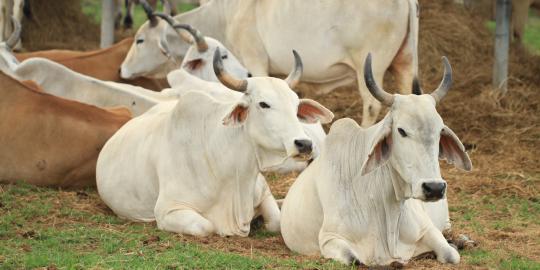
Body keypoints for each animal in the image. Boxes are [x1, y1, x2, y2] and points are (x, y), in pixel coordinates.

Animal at [97, 50, 334, 236]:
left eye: (296, 106)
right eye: (263, 104)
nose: (304, 144)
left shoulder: (264, 193)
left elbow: (276, 222)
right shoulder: (168, 210)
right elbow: (207, 227)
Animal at [120, 0, 420, 126]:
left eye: (140, 40)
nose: (122, 70)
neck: (225, 14)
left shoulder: (255, 61)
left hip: (369, 66)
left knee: (371, 105)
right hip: (404, 62)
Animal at [280, 53, 470, 266]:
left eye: (440, 131)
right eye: (401, 130)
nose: (435, 188)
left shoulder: (427, 229)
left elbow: (451, 254)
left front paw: (454, 245)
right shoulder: (330, 238)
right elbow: (354, 259)